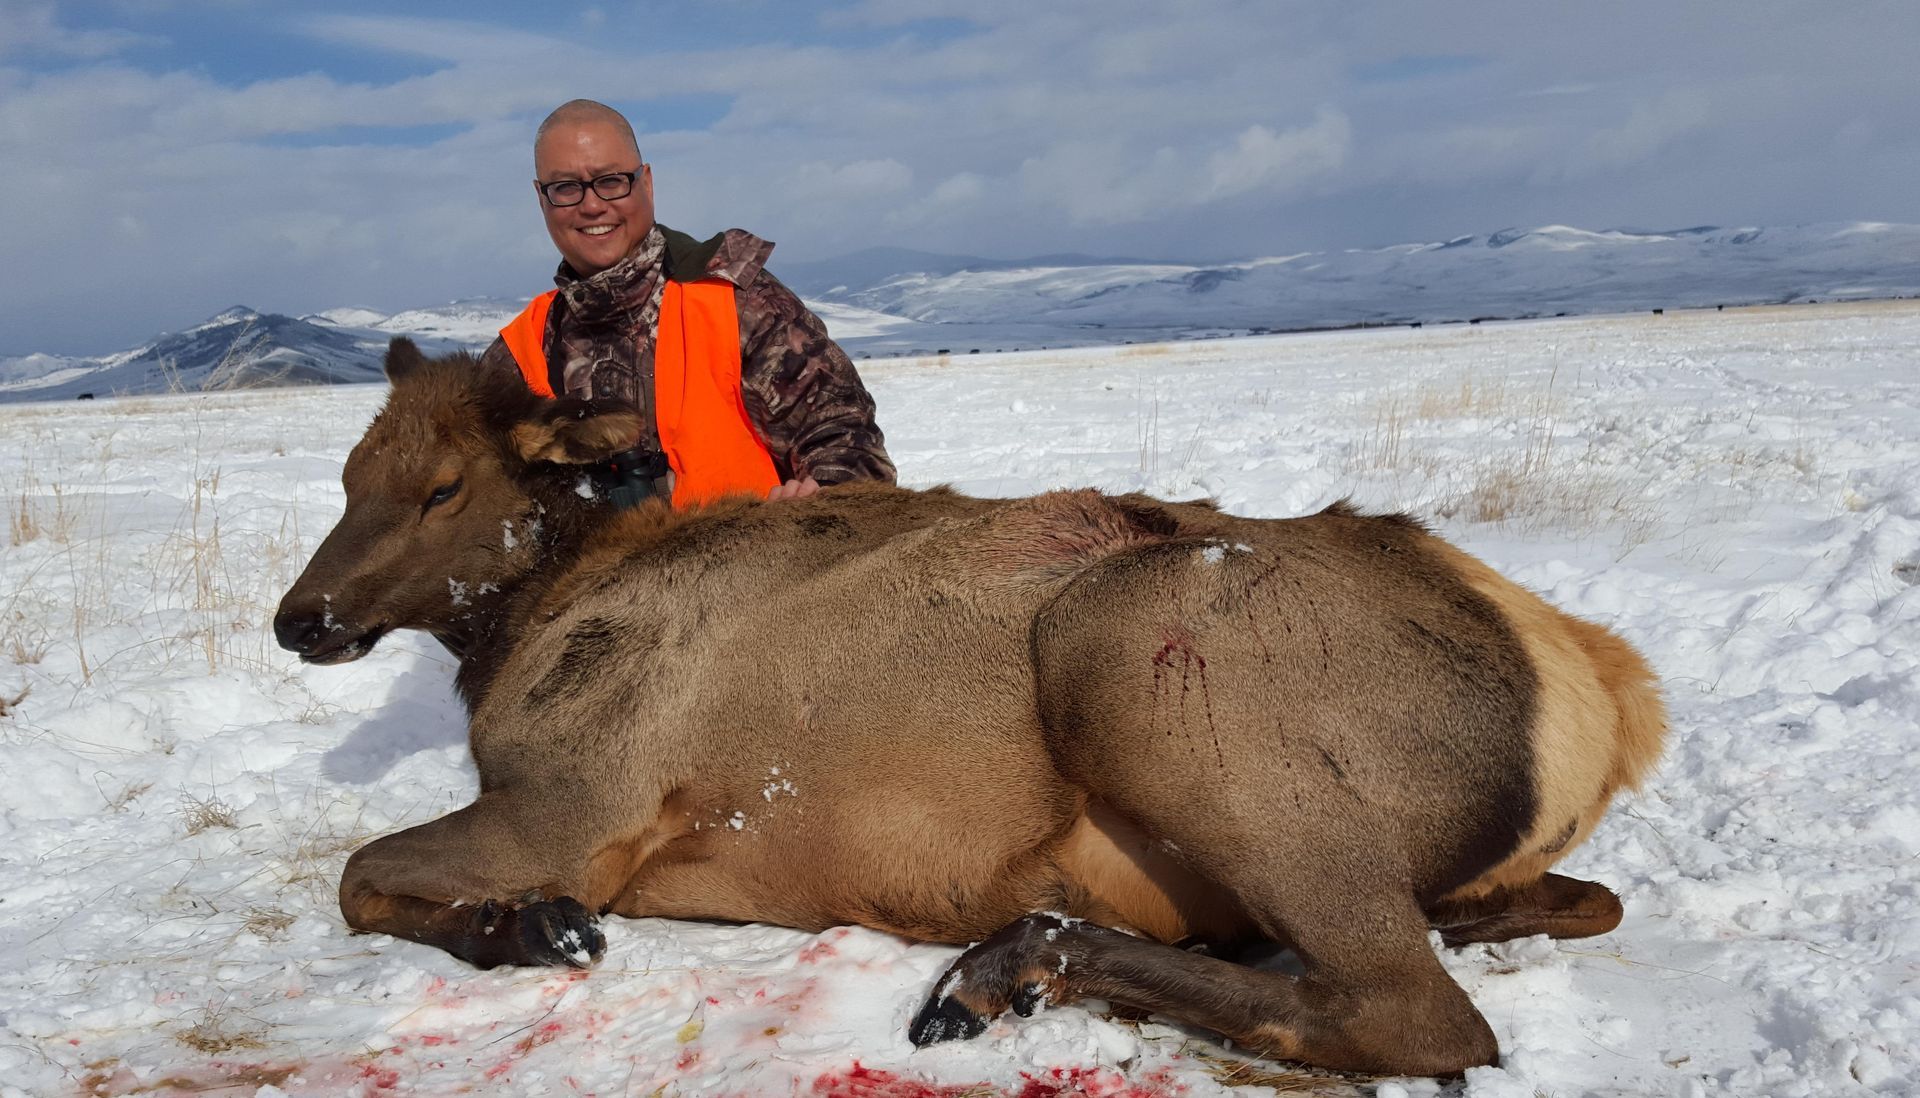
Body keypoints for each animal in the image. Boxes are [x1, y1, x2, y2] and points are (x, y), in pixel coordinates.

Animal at [273, 339, 1665, 1077]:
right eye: (344, 471)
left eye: (443, 486)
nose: (300, 617)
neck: (523, 634)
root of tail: (1602, 697)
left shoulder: (580, 803)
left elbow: (356, 875)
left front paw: (528, 924)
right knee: (1569, 903)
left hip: (1138, 659)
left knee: (1418, 1013)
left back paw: (1002, 969)